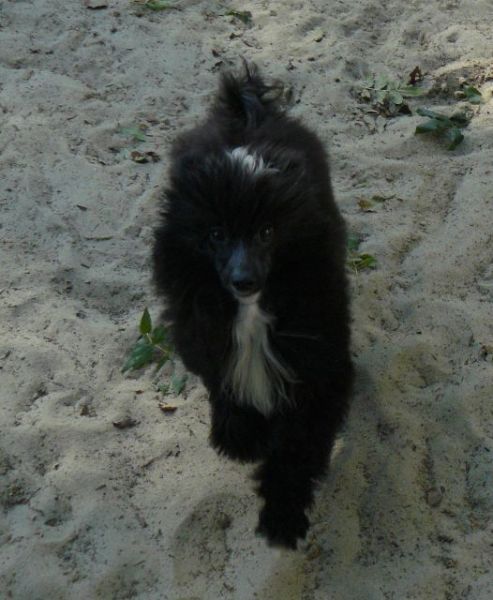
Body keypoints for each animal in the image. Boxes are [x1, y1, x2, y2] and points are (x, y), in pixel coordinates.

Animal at [153, 64, 353, 548]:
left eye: (267, 232)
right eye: (216, 235)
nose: (243, 280)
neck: (252, 310)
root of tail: (247, 110)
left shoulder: (318, 371)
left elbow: (296, 449)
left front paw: (281, 518)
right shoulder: (207, 336)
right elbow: (224, 385)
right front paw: (238, 437)